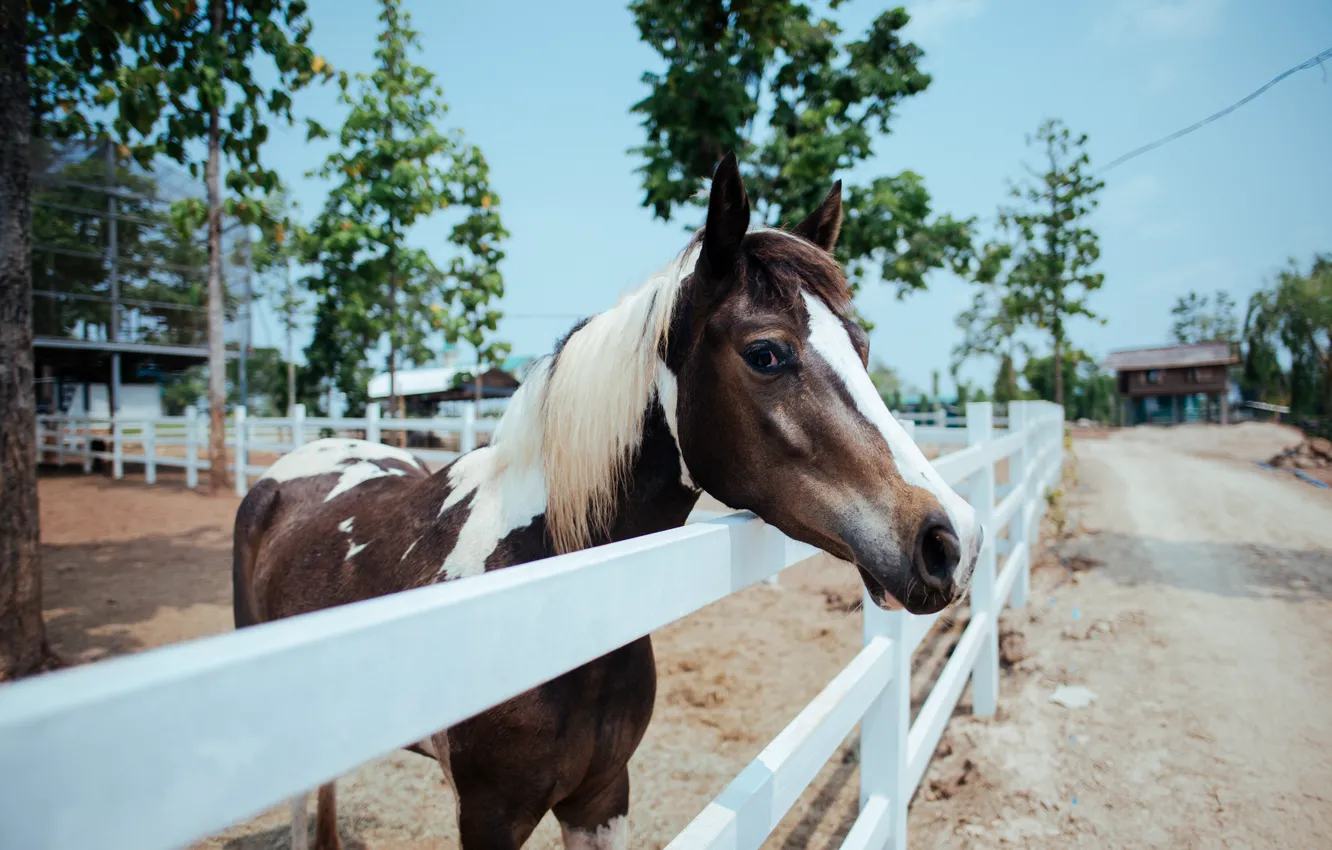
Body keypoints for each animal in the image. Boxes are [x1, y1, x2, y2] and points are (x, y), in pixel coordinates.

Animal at [232, 153, 982, 850]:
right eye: (766, 353)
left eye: (862, 346)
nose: (954, 541)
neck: (551, 585)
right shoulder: (487, 816)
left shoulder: (601, 796)